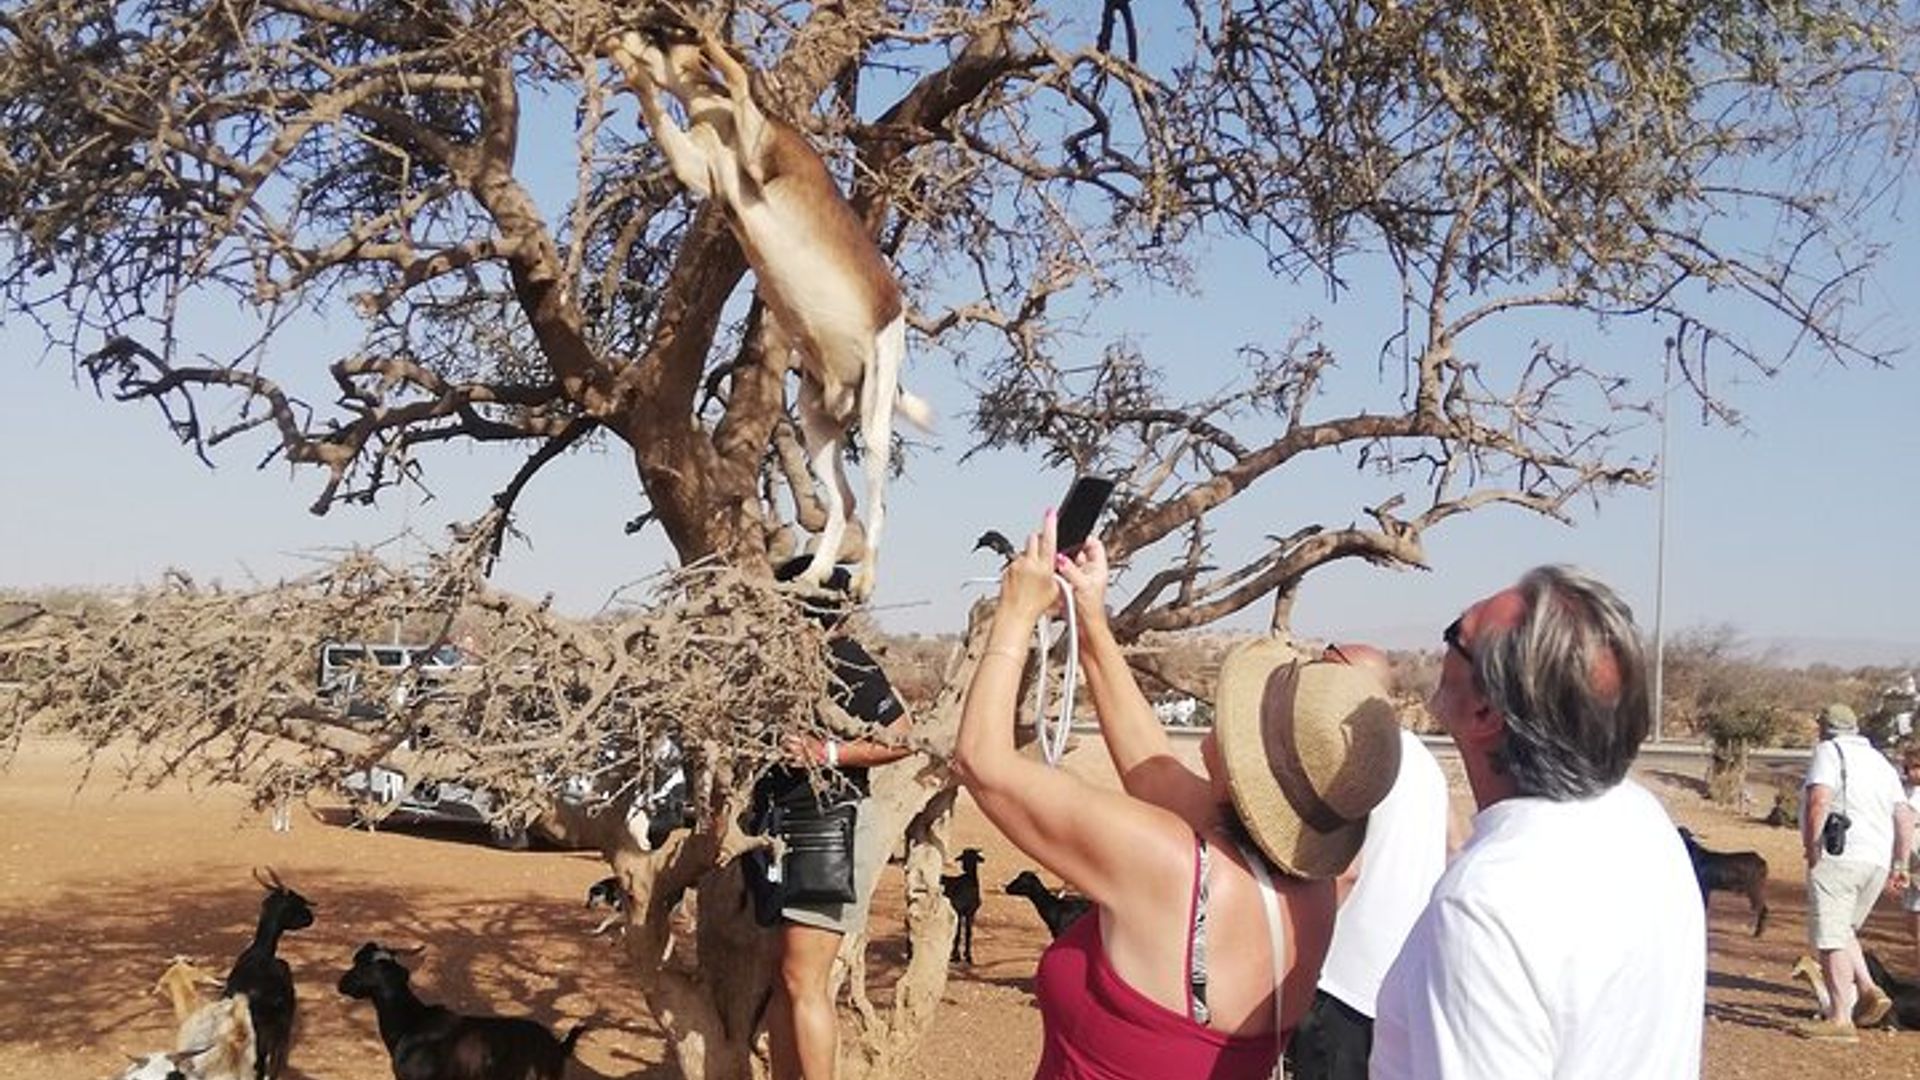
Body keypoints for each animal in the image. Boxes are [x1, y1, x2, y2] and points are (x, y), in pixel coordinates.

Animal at [603, 20, 934, 599]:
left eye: (660, 34)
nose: (614, 38)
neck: (720, 120)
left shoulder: (759, 148)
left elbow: (737, 76)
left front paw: (715, 42)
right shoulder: (701, 169)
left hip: (873, 415)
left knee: (877, 500)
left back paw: (863, 579)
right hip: (817, 421)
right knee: (844, 500)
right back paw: (816, 575)